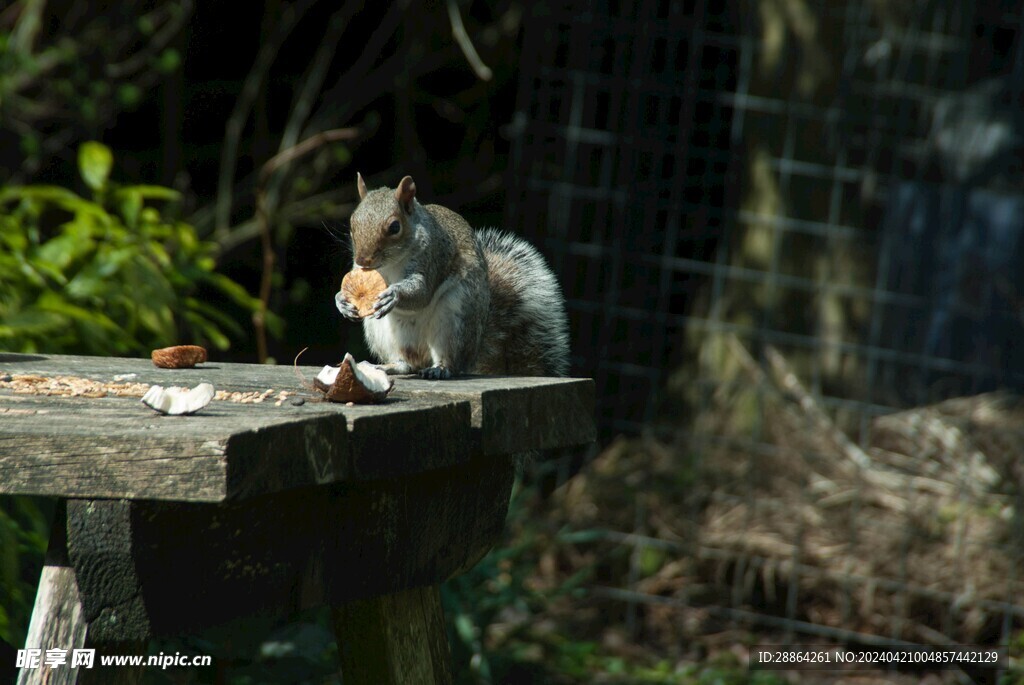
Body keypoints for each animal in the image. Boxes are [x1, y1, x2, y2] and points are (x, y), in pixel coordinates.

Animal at [333, 172, 569, 378]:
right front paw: (341, 300)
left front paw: (395, 294)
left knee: (451, 360)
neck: (391, 263)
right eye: (352, 224)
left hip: (455, 318)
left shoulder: (433, 256)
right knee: (407, 364)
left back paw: (440, 369)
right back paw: (389, 366)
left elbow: (422, 292)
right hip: (381, 332)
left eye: (394, 227)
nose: (363, 260)